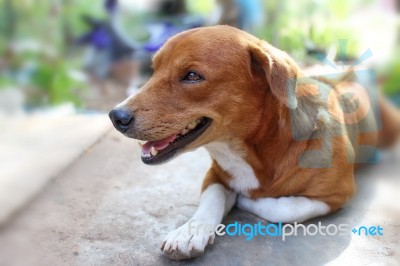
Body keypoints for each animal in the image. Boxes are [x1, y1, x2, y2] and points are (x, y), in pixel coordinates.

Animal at [109, 25, 400, 260]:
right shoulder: (215, 174)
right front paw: (190, 231)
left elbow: (285, 208)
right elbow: (212, 199)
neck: (255, 149)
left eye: (192, 76)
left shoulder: (338, 193)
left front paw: (247, 201)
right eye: (153, 70)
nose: (115, 116)